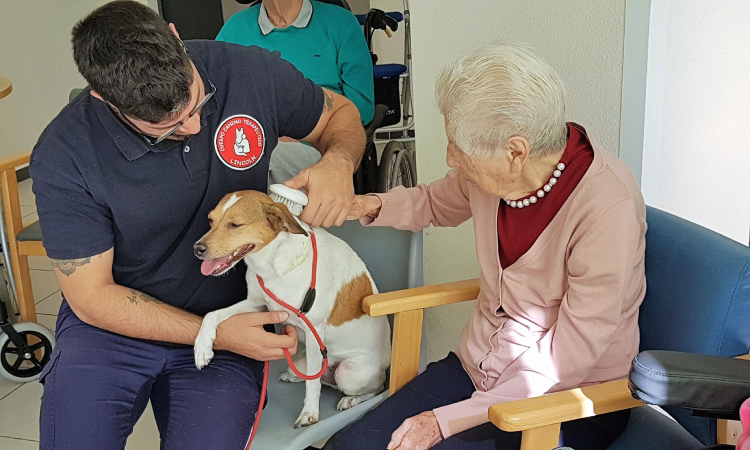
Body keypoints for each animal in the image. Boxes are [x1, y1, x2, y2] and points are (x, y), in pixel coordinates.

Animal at [192, 191, 394, 428]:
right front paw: (202, 349)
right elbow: (211, 315)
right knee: (319, 378)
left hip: (348, 374)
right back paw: (294, 376)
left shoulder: (313, 332)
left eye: (235, 224)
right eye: (210, 220)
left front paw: (309, 413)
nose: (197, 249)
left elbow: (312, 386)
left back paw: (351, 399)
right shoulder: (256, 303)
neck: (273, 268)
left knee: (375, 388)